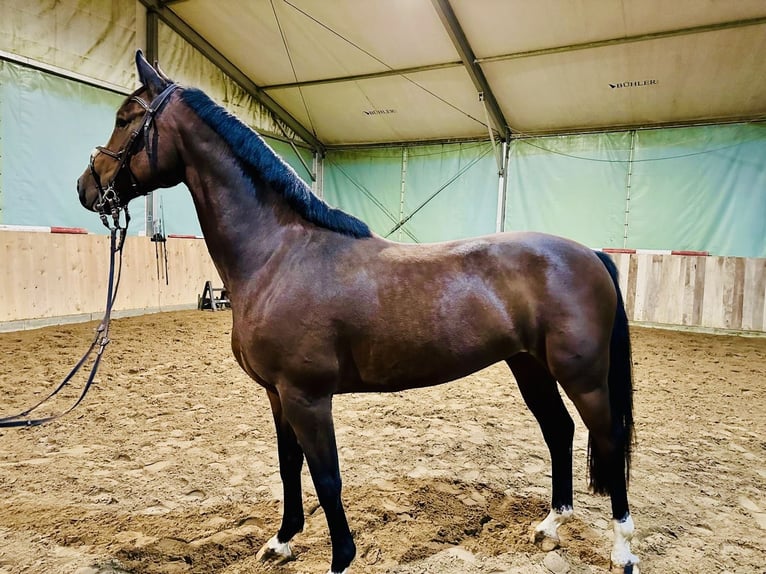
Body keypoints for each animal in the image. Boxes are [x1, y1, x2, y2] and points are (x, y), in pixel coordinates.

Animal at [78, 51, 640, 572]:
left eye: (126, 117)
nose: (87, 187)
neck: (277, 254)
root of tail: (590, 254)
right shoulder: (278, 395)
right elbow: (288, 466)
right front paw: (281, 541)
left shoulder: (307, 397)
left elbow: (327, 477)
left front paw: (340, 556)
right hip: (529, 365)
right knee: (559, 431)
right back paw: (550, 526)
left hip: (583, 375)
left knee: (609, 439)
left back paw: (623, 550)